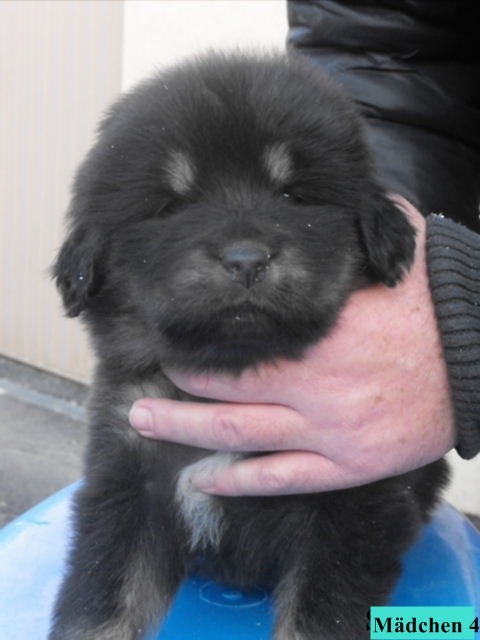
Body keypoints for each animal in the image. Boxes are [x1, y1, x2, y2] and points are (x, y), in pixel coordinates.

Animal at [50, 52, 448, 640]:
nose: (245, 260)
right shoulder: (127, 479)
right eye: (172, 206)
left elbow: (319, 616)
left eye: (292, 196)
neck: (231, 376)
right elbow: (102, 601)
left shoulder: (349, 502)